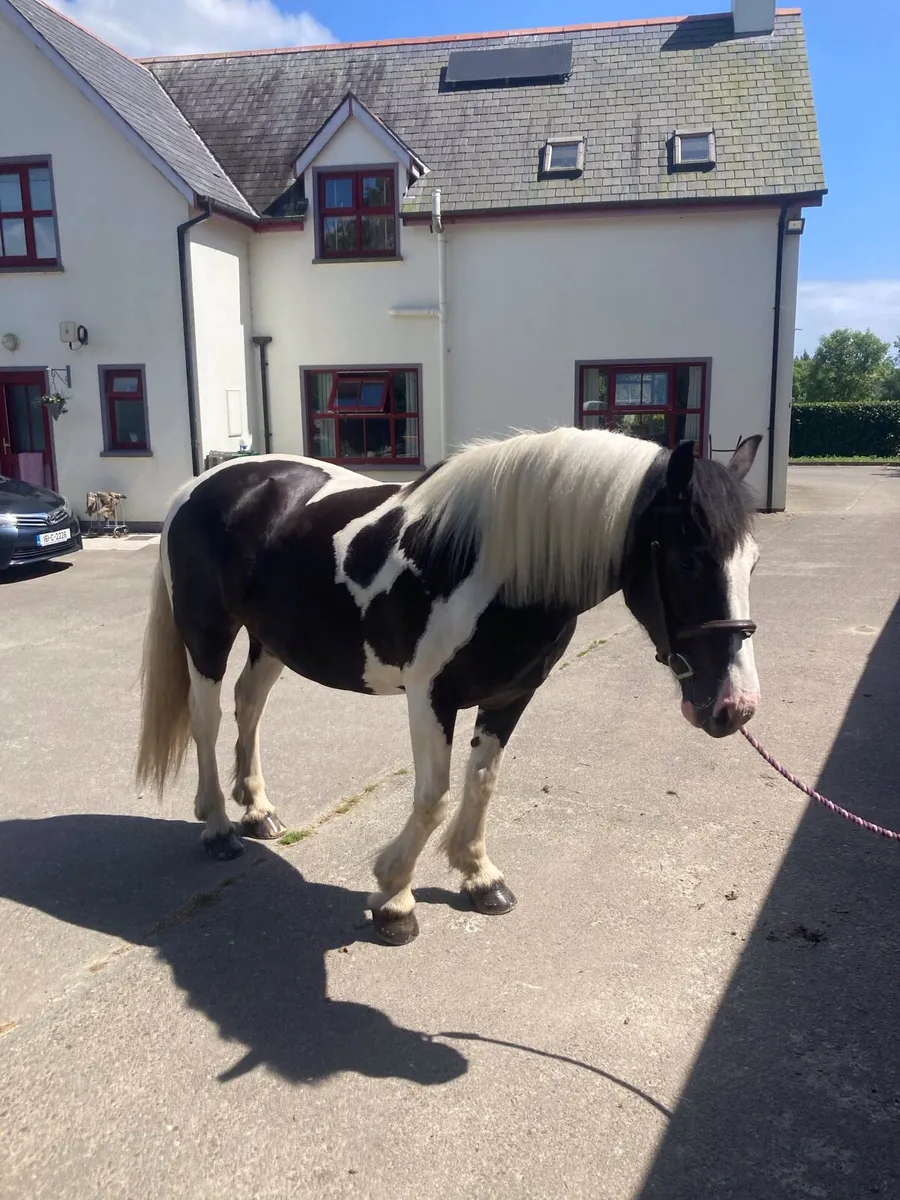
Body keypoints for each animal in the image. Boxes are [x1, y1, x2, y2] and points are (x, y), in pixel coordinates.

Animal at [137, 427, 763, 946]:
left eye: (752, 562)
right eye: (688, 558)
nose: (734, 707)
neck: (498, 566)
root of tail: (200, 485)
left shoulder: (511, 695)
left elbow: (482, 782)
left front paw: (479, 875)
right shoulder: (430, 697)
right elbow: (433, 797)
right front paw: (394, 898)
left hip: (271, 641)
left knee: (249, 706)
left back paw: (258, 810)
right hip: (207, 636)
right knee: (207, 719)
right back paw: (219, 827)